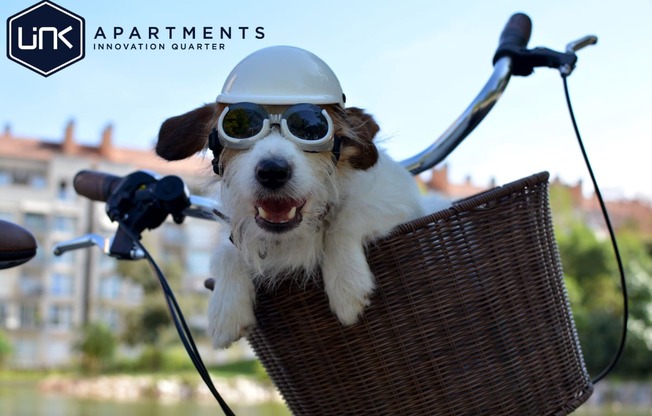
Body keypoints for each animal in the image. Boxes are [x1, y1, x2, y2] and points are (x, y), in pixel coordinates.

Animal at [155, 45, 426, 348]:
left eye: (311, 129)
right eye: (239, 127)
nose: (273, 172)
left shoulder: (402, 199)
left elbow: (345, 220)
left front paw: (346, 286)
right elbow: (227, 250)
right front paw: (225, 309)